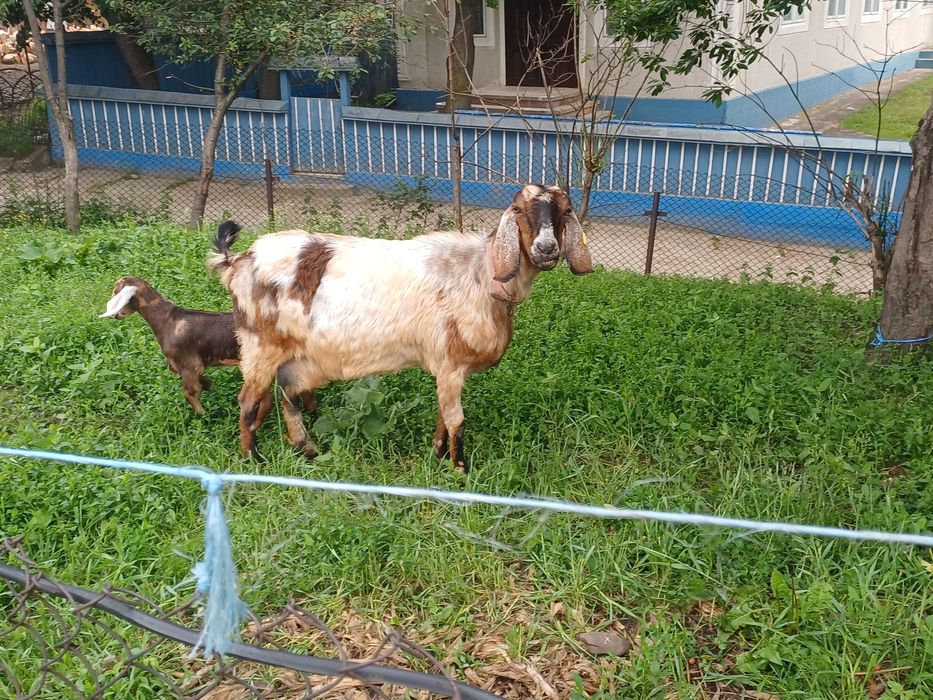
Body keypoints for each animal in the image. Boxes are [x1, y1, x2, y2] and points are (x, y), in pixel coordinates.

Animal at [100, 276, 317, 420]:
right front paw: (209, 387)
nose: (116, 315)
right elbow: (200, 382)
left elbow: (189, 392)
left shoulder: (188, 364)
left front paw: (203, 415)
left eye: (116, 291)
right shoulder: (193, 365)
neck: (168, 320)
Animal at [210, 184, 592, 471]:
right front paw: (460, 469)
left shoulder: (445, 368)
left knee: (283, 396)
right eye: (520, 211)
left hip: (295, 357)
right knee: (248, 401)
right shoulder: (451, 362)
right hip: (260, 345)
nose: (547, 249)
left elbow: (442, 416)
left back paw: (306, 449)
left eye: (564, 211)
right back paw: (254, 458)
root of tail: (238, 261)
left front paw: (438, 454)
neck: (480, 275)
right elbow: (457, 420)